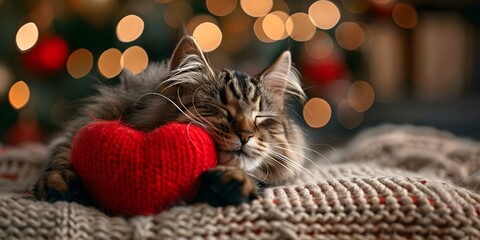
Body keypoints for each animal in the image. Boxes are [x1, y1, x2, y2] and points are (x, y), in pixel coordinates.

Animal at [32, 35, 308, 206]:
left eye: (260, 118)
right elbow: (61, 154)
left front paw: (234, 183)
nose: (246, 135)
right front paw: (58, 182)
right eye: (221, 110)